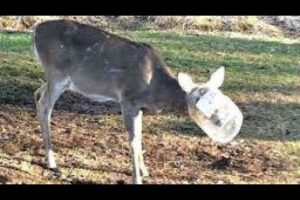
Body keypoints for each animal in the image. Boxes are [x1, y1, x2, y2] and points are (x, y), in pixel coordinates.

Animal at [33, 19, 244, 184]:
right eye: (200, 102)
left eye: (221, 98)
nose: (221, 121)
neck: (156, 89)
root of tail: (35, 31)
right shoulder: (128, 100)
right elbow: (134, 141)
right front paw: (137, 178)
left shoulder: (140, 107)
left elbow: (141, 136)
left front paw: (145, 171)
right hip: (57, 74)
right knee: (45, 106)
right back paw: (51, 161)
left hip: (56, 79)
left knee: (37, 94)